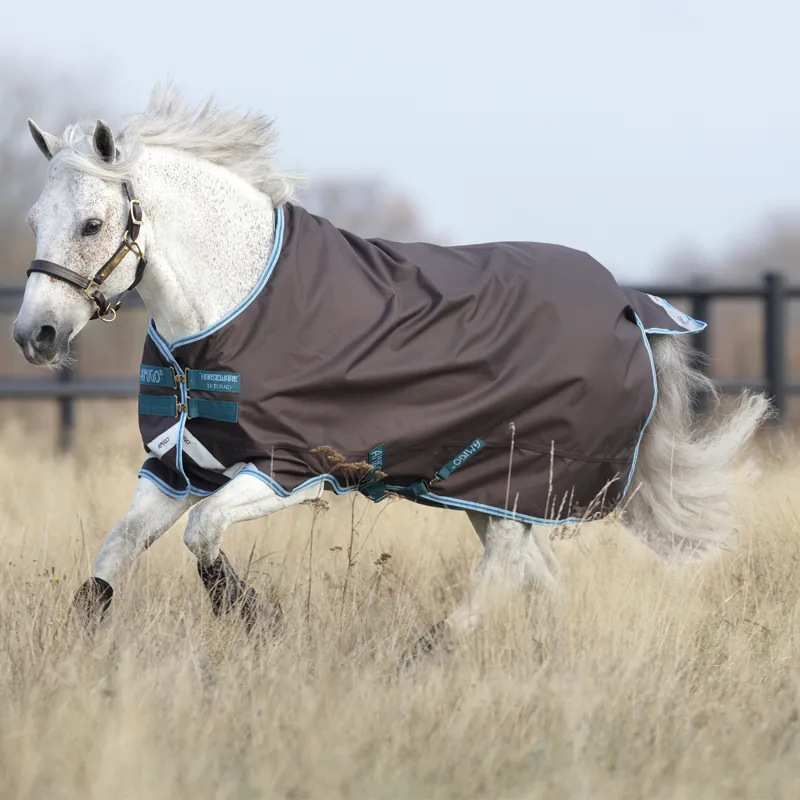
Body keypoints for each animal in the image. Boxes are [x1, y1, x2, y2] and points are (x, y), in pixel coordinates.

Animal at [12, 86, 770, 656]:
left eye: (91, 224)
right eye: (37, 218)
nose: (33, 335)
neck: (233, 307)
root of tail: (631, 305)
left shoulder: (288, 469)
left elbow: (203, 535)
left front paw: (254, 617)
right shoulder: (179, 465)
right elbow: (113, 556)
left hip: (516, 479)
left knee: (505, 572)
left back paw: (433, 649)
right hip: (487, 491)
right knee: (537, 576)